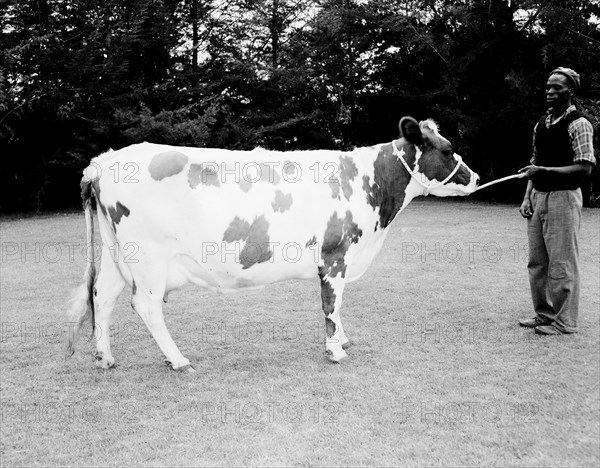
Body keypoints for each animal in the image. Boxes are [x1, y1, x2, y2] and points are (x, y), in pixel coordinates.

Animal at [67, 115, 478, 372]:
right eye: (447, 150)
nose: (475, 177)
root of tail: (103, 162)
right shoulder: (335, 255)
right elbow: (331, 304)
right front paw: (335, 350)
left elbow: (338, 305)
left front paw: (343, 341)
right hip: (149, 257)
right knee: (146, 305)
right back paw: (178, 359)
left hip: (118, 255)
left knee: (103, 296)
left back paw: (105, 358)